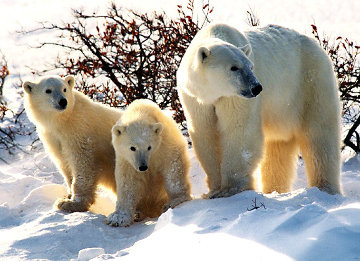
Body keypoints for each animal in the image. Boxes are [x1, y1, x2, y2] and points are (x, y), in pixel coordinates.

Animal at [24, 75, 122, 211]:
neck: (63, 121)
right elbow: (64, 164)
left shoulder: (79, 131)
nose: (63, 101)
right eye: (48, 90)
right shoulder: (52, 137)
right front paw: (67, 196)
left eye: (64, 89)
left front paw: (72, 204)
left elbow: (83, 165)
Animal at [179, 22, 342, 197]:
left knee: (319, 136)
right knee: (277, 150)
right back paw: (274, 189)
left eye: (251, 66)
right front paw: (214, 190)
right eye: (234, 68)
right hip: (282, 110)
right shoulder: (195, 99)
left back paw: (325, 188)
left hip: (310, 82)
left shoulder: (234, 98)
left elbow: (238, 130)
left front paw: (231, 189)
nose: (256, 87)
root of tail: (316, 45)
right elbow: (205, 134)